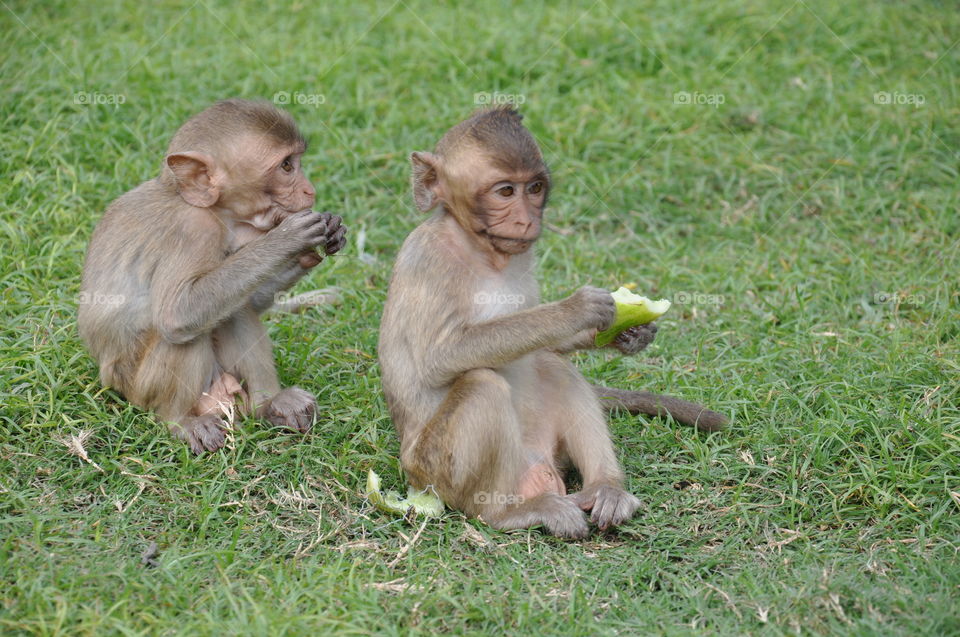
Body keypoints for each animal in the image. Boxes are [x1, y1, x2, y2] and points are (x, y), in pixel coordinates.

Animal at [78, 99, 347, 454]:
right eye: (287, 166)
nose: (310, 190)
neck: (211, 210)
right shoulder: (193, 231)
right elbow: (176, 314)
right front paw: (287, 239)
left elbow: (249, 303)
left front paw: (319, 242)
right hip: (139, 388)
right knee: (183, 334)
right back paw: (180, 421)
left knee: (233, 311)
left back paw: (269, 405)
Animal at [378, 107, 727, 538]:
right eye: (505, 192)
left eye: (535, 188)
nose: (526, 220)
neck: (481, 250)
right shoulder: (428, 259)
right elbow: (437, 359)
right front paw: (574, 309)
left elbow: (547, 345)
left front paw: (629, 334)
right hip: (434, 473)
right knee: (483, 385)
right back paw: (507, 513)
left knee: (552, 366)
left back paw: (605, 488)